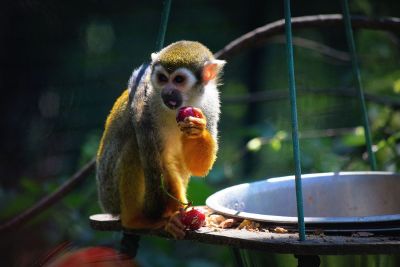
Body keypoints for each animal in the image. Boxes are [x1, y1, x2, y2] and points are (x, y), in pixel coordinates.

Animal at [94, 41, 225, 239]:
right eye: (162, 78)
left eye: (178, 80)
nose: (168, 91)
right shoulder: (148, 106)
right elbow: (163, 161)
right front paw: (177, 216)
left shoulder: (211, 102)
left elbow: (199, 168)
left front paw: (197, 129)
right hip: (110, 192)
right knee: (135, 147)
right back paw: (136, 220)